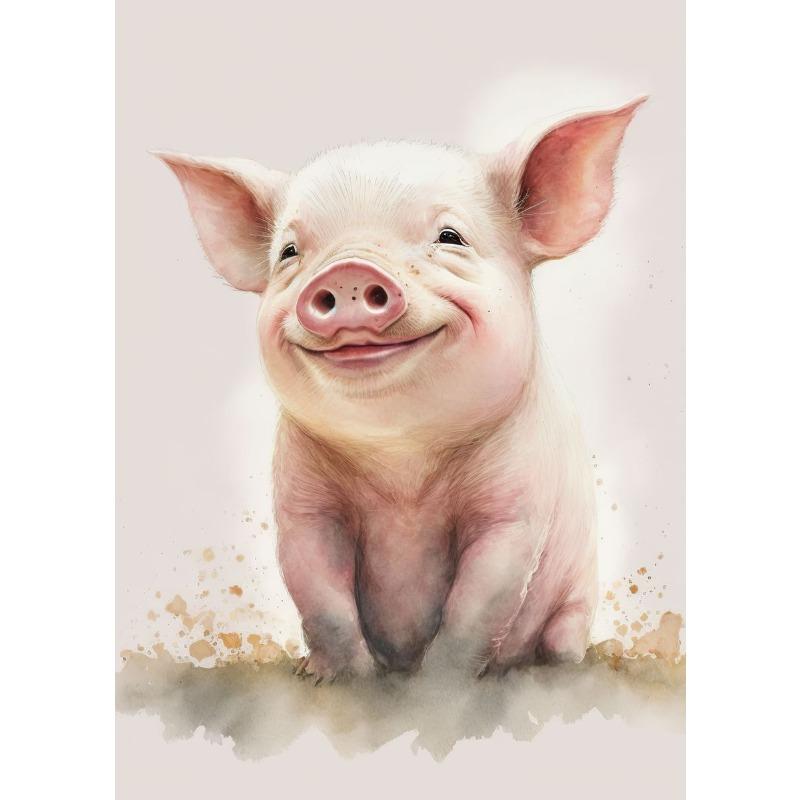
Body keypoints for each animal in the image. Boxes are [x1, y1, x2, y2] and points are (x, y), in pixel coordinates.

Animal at [156, 98, 645, 682]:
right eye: (290, 252)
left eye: (450, 237)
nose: (347, 270)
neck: (401, 464)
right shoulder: (302, 505)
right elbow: (320, 597)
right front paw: (335, 679)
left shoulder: (517, 508)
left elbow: (476, 606)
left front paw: (439, 687)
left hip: (575, 599)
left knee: (563, 634)